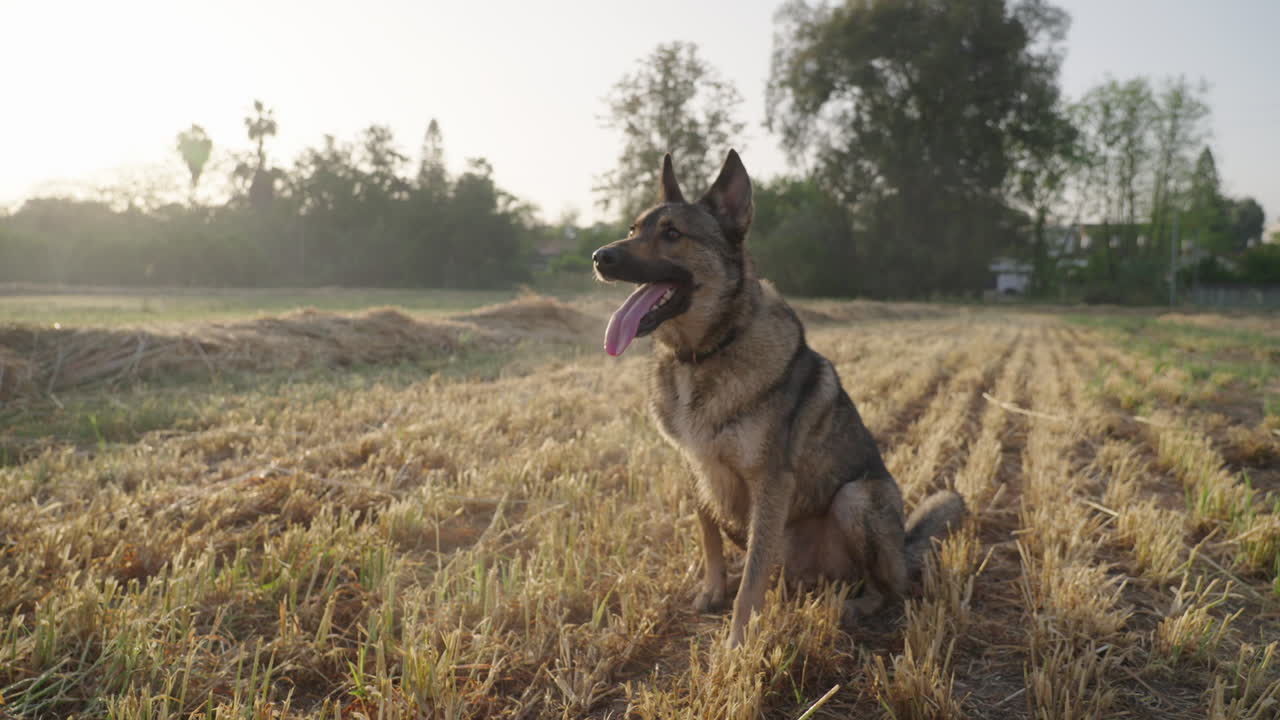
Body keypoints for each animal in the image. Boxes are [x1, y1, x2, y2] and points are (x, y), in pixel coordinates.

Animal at [592, 150, 965, 648]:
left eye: (672, 234)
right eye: (633, 229)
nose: (600, 257)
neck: (708, 351)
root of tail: (903, 550)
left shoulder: (769, 482)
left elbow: (751, 579)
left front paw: (736, 644)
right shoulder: (696, 469)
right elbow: (709, 538)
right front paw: (713, 591)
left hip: (857, 498)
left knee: (890, 588)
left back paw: (851, 606)